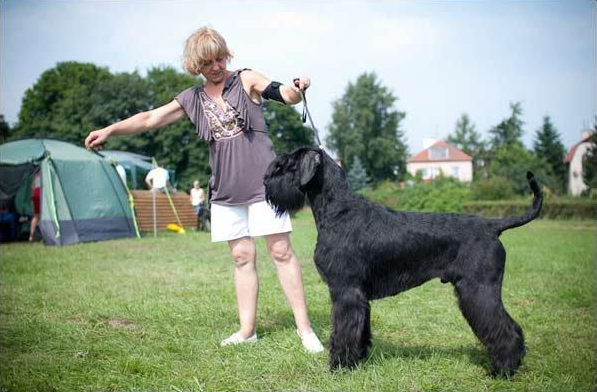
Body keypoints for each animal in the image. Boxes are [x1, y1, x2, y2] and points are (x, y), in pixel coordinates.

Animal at [264, 146, 544, 376]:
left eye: (286, 164)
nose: (266, 181)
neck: (338, 210)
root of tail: (492, 225)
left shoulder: (345, 291)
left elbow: (343, 331)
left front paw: (340, 366)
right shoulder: (358, 295)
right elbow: (360, 329)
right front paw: (359, 358)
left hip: (479, 291)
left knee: (505, 329)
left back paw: (503, 370)